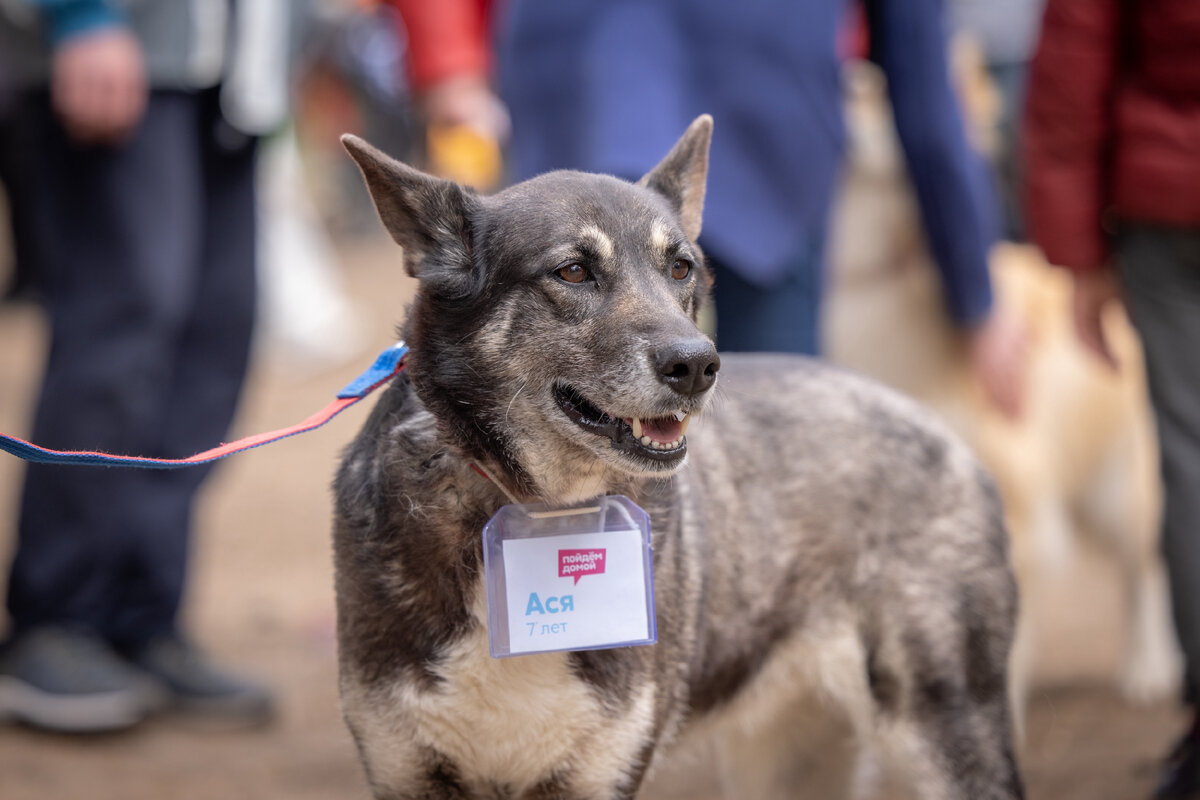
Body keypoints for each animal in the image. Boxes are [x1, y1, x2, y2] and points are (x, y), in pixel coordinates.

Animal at [331, 117, 1022, 800]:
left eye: (682, 268)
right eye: (573, 271)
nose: (697, 366)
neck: (542, 513)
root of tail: (934, 423)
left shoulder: (601, 776)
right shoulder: (406, 770)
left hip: (948, 728)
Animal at [825, 61, 1180, 714]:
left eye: (872, 84)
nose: (838, 75)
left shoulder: (1011, 499)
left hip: (1119, 487)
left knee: (1146, 567)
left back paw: (1149, 666)